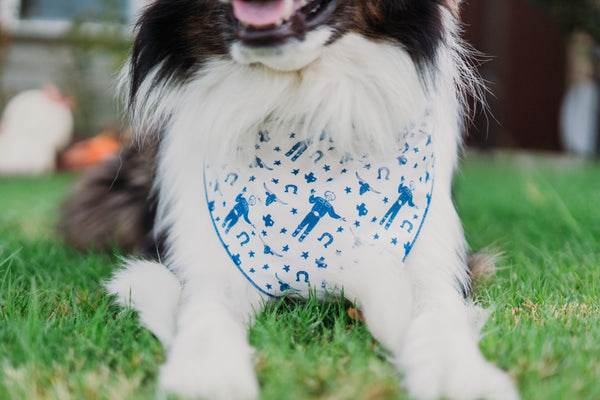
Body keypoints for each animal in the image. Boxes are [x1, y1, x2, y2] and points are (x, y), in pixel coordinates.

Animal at [62, 0, 520, 398]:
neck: (300, 104)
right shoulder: (208, 259)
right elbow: (203, 310)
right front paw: (205, 372)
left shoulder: (433, 260)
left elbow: (438, 315)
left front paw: (460, 375)